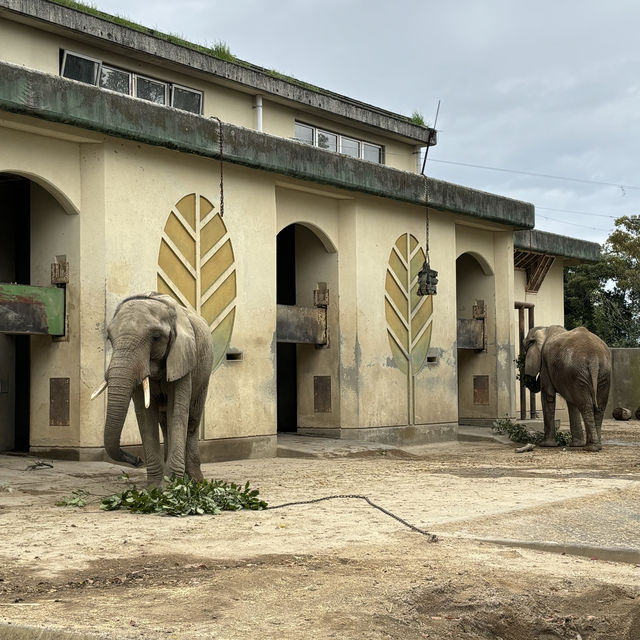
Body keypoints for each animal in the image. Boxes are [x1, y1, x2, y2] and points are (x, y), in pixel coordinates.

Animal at [91, 292, 214, 482]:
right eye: (110, 338)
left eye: (156, 337)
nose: (137, 460)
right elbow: (144, 415)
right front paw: (156, 486)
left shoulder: (182, 359)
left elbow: (177, 411)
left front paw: (172, 483)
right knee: (164, 422)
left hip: (204, 375)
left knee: (192, 421)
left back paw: (194, 480)